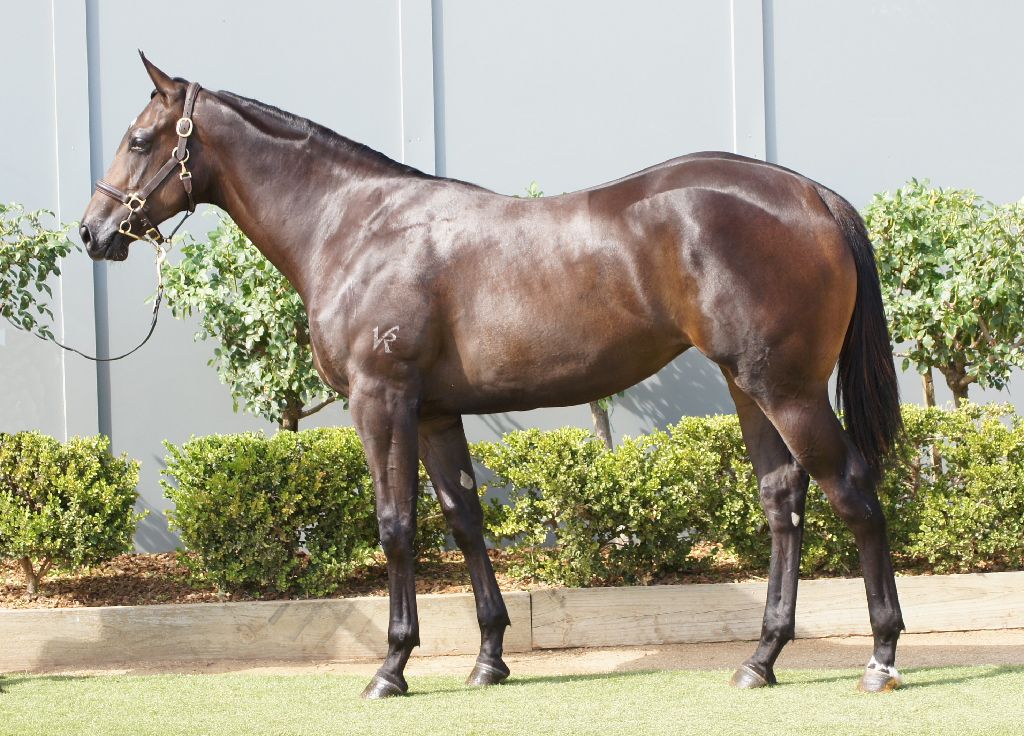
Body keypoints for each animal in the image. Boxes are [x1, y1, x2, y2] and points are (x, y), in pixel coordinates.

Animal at [80, 53, 905, 698]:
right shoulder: (436, 411)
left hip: (786, 388)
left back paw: (881, 656)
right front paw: (489, 658)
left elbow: (397, 525)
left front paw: (391, 667)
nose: (93, 232)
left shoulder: (382, 399)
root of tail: (814, 196)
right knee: (782, 500)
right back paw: (760, 659)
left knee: (854, 493)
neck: (355, 226)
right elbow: (463, 520)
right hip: (749, 386)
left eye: (140, 139)